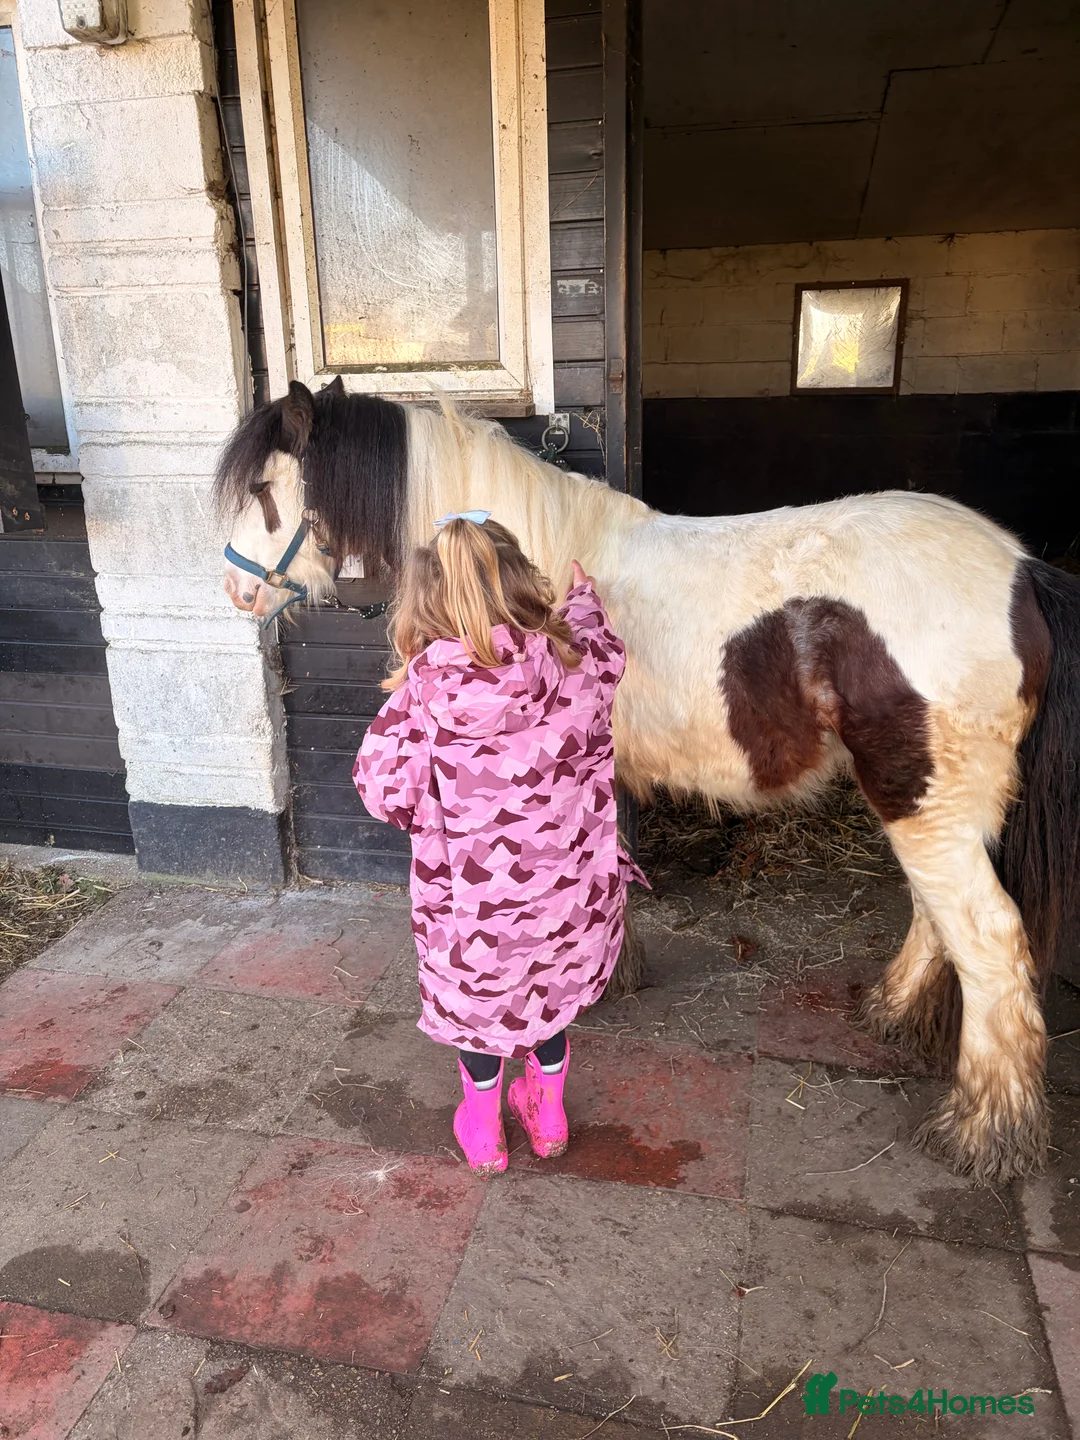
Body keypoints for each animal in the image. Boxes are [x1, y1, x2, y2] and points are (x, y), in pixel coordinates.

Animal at [215, 376, 1080, 1184]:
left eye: (264, 492)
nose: (236, 589)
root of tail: (1023, 573)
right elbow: (605, 867)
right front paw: (602, 977)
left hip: (924, 802)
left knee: (989, 941)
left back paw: (984, 1130)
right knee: (940, 921)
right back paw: (893, 1013)